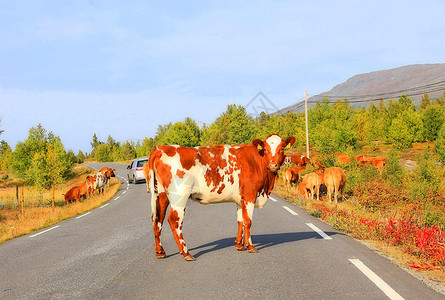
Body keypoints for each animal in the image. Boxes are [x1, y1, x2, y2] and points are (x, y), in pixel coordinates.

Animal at [143, 134, 294, 260]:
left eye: (281, 148)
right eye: (266, 149)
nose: (273, 164)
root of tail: (160, 148)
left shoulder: (240, 199)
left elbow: (240, 220)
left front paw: (239, 245)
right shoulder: (250, 195)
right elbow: (248, 221)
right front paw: (250, 246)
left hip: (161, 194)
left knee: (157, 219)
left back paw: (160, 252)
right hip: (179, 195)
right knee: (174, 220)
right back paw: (186, 253)